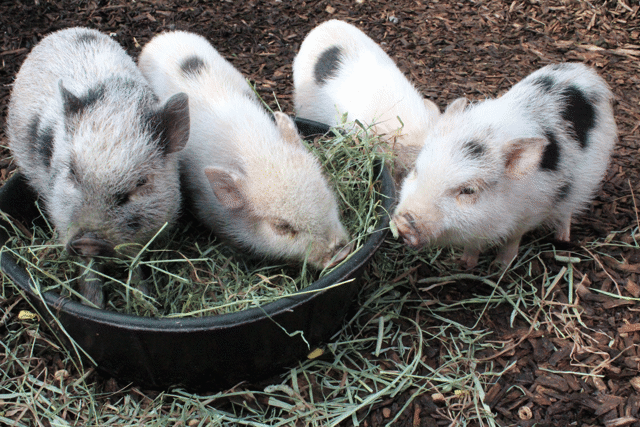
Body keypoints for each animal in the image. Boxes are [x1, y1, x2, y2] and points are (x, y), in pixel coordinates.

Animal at [6, 27, 190, 306]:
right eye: (72, 173)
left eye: (141, 183)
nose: (89, 240)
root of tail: (67, 31)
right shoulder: (63, 218)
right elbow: (88, 270)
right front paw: (93, 304)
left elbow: (135, 264)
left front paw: (147, 302)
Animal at [392, 63, 617, 268]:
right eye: (416, 170)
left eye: (468, 190)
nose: (403, 224)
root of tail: (585, 70)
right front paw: (464, 264)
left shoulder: (529, 213)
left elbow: (512, 239)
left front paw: (500, 266)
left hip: (587, 176)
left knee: (568, 208)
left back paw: (562, 239)